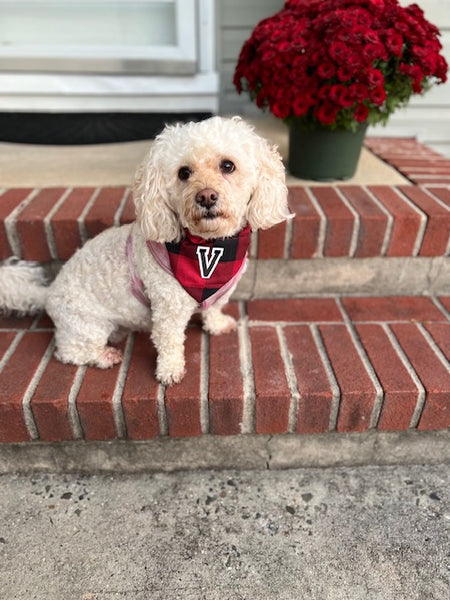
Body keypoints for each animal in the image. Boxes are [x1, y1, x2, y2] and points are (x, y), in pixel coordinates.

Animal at [0, 117, 290, 384]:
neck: (209, 248)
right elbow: (169, 341)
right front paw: (170, 371)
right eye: (184, 173)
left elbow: (212, 309)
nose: (206, 196)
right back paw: (104, 355)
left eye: (228, 166)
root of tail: (48, 293)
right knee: (70, 352)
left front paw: (217, 325)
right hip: (86, 325)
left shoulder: (219, 291)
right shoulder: (168, 309)